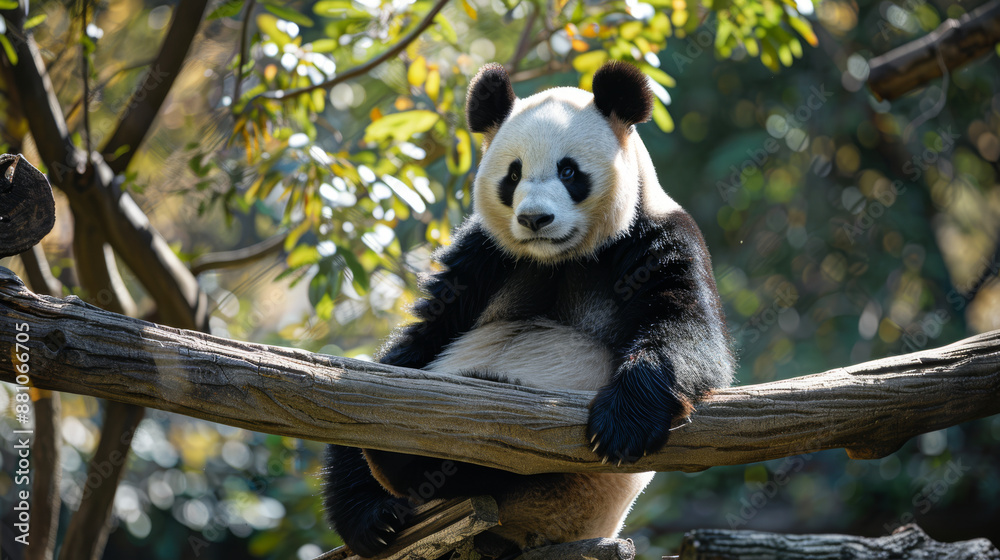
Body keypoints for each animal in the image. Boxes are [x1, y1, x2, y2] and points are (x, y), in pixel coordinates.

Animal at [324, 60, 734, 558]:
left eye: (569, 171)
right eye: (513, 175)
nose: (534, 219)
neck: (560, 256)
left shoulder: (658, 237)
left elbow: (689, 333)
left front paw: (621, 425)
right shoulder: (486, 257)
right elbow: (416, 344)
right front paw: (367, 515)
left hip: (561, 490)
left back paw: (406, 457)